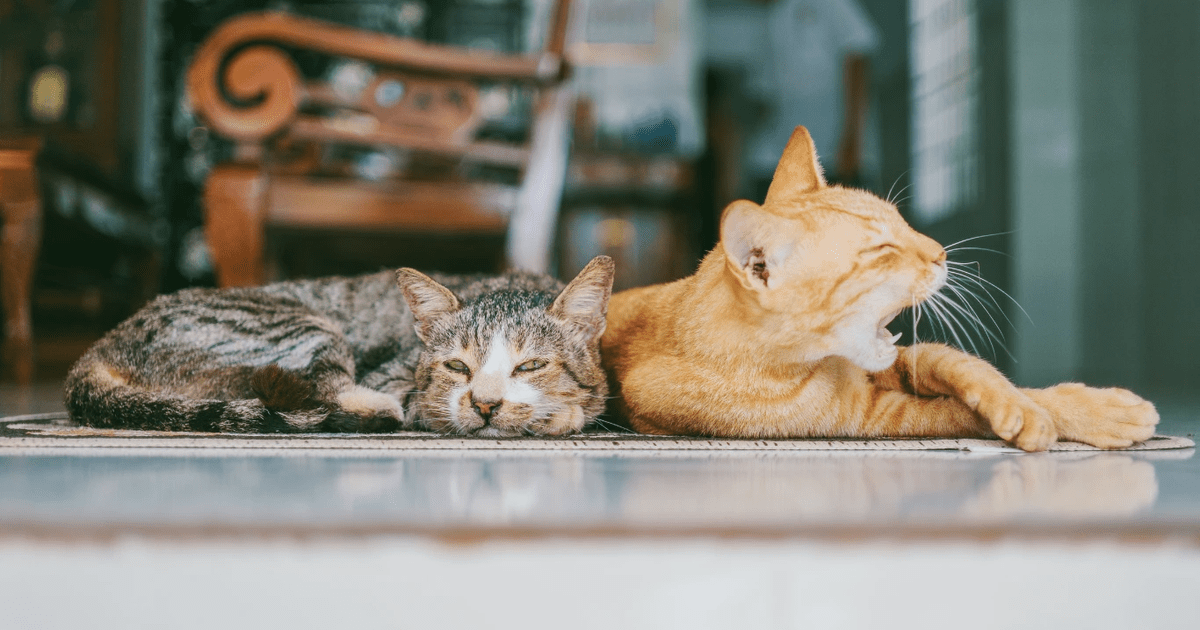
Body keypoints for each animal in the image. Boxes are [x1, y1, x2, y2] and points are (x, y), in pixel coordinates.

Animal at [63, 253, 619, 434]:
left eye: (531, 366)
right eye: (457, 367)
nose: (484, 404)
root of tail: (102, 346)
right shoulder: (403, 381)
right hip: (305, 326)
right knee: (329, 391)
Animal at [604, 126, 1156, 451]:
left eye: (903, 223)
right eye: (882, 251)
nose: (940, 251)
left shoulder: (903, 362)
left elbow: (964, 366)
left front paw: (1043, 404)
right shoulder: (870, 418)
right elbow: (959, 414)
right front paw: (1057, 417)